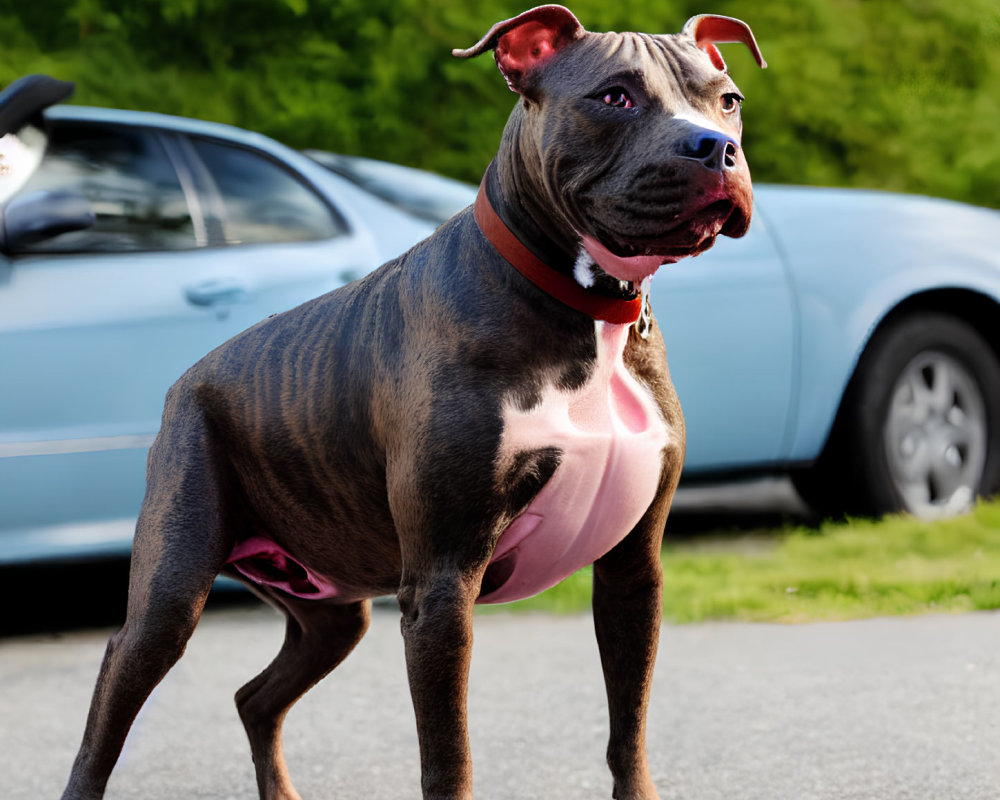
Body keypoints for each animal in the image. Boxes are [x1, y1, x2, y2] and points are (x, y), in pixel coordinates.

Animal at [62, 7, 764, 800]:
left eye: (728, 101)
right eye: (615, 97)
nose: (718, 148)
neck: (587, 309)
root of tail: (187, 379)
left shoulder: (632, 573)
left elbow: (630, 730)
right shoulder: (441, 587)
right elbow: (448, 755)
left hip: (334, 617)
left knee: (254, 697)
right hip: (169, 594)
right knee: (108, 718)